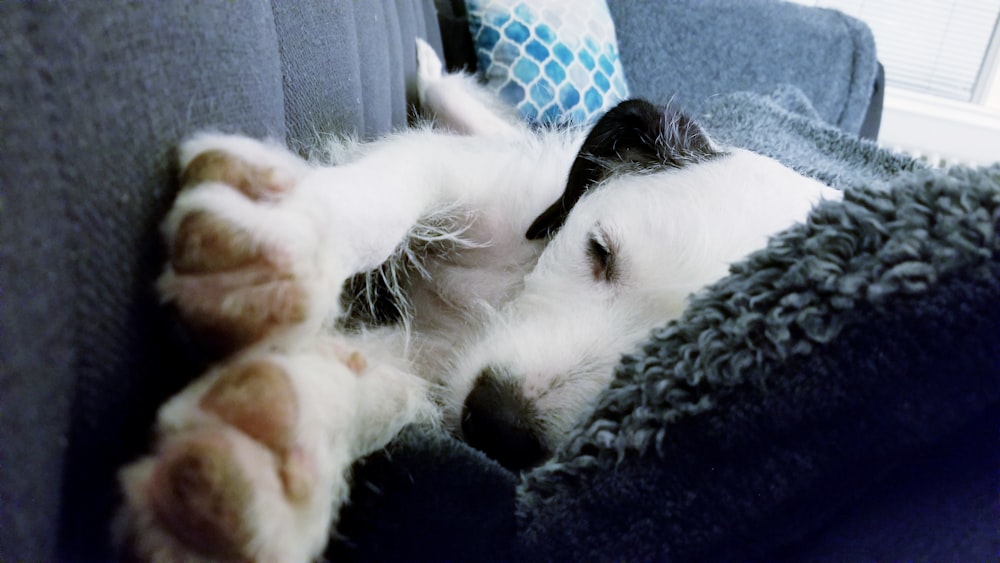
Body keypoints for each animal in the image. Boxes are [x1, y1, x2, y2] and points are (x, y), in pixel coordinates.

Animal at [115, 38, 836, 560]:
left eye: (675, 380)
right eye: (599, 249)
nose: (498, 423)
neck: (507, 287)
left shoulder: (435, 372)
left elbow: (383, 388)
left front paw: (279, 436)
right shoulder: (482, 182)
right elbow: (399, 185)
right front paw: (302, 225)